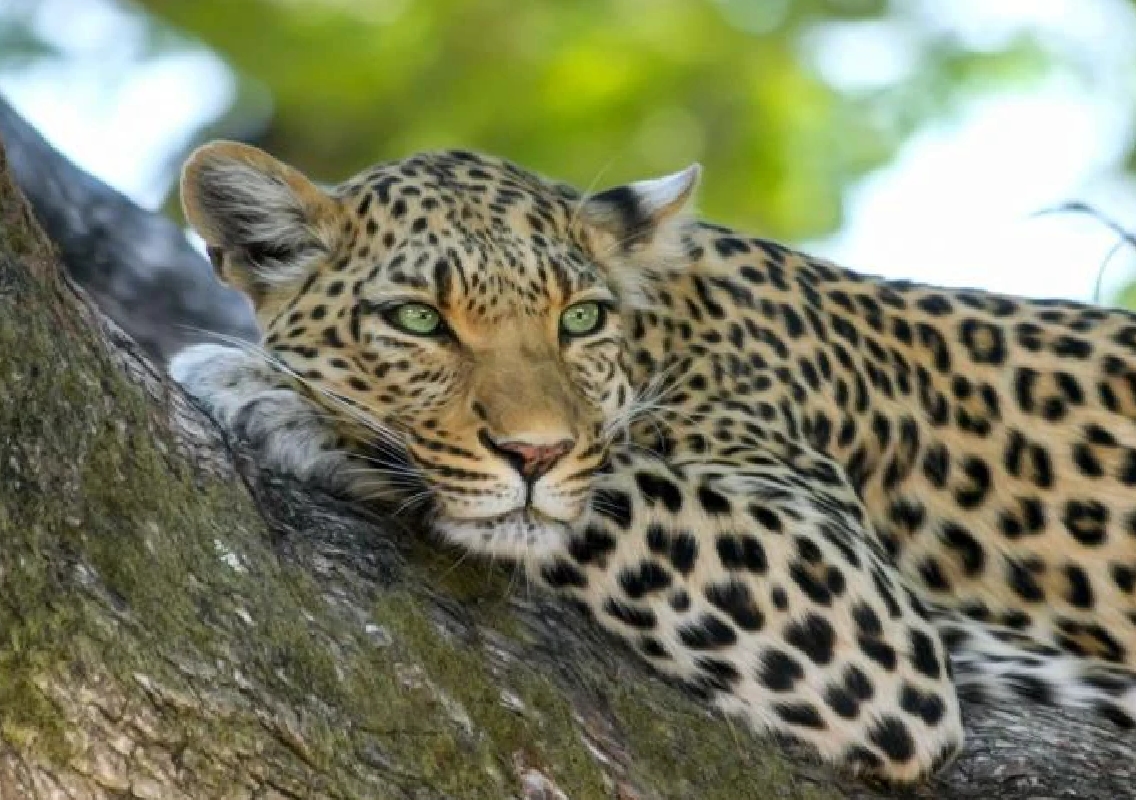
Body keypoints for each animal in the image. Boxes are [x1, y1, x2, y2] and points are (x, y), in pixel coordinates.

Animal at [170, 140, 1136, 783]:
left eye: (580, 319)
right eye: (417, 321)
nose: (535, 451)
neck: (666, 332)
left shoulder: (860, 609)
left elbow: (610, 489)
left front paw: (278, 395)